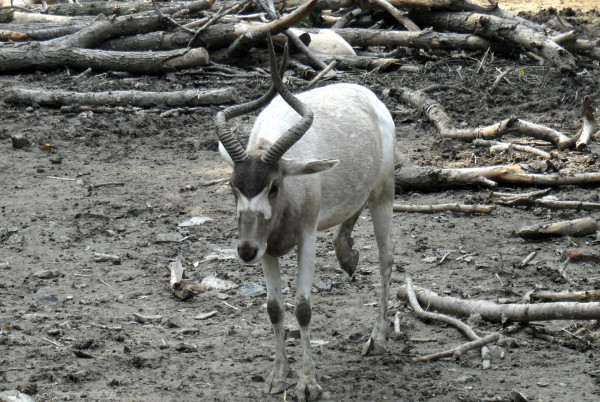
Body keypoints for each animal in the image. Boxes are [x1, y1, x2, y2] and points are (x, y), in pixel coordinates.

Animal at [213, 34, 396, 402]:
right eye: (232, 185)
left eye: (274, 185)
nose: (244, 251)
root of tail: (368, 97)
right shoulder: (266, 249)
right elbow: (274, 307)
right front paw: (276, 377)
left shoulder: (307, 238)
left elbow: (302, 308)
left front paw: (308, 384)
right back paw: (347, 255)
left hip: (383, 193)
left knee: (385, 260)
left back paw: (378, 339)